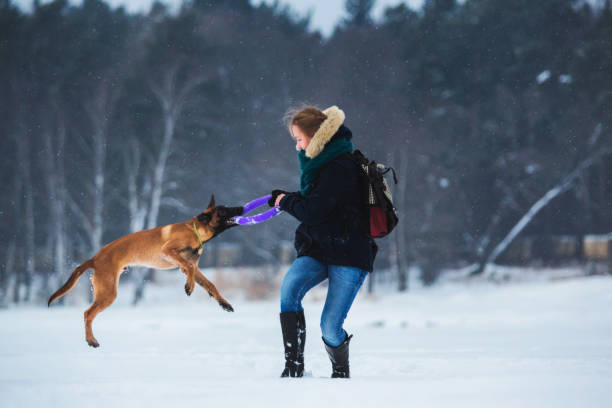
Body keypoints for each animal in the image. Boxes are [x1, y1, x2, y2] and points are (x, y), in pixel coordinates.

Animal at [49, 194, 244, 348]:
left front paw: (224, 303)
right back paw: (91, 340)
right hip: (108, 292)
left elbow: (210, 284)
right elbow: (187, 268)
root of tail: (95, 258)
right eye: (223, 211)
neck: (196, 230)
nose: (241, 207)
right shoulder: (167, 251)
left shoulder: (194, 268)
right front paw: (189, 287)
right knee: (87, 313)